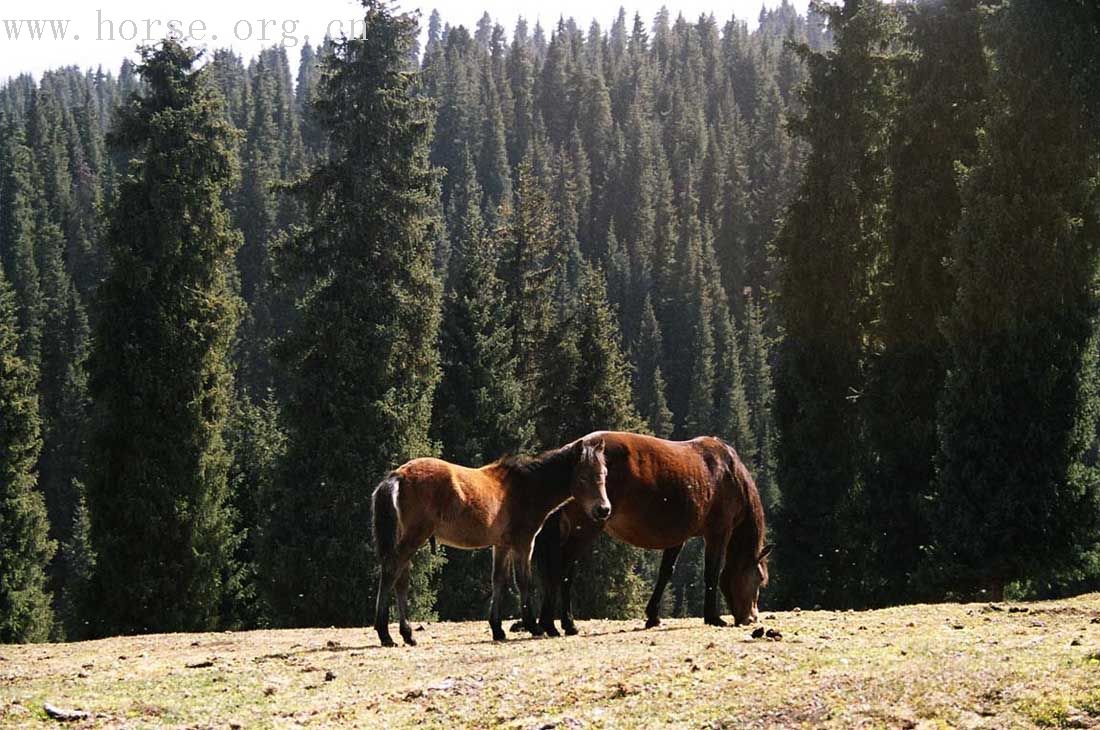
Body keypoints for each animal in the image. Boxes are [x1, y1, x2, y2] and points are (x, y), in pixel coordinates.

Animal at [369, 433, 611, 646]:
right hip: (414, 536)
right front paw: (533, 626)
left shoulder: (501, 546)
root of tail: (399, 474)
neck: (526, 488)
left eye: (604, 473)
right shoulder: (524, 543)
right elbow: (523, 581)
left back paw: (407, 634)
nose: (603, 509)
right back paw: (385, 634)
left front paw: (497, 628)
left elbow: (499, 580)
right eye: (583, 477)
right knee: (391, 571)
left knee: (401, 578)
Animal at [528, 430, 770, 637]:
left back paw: (558, 624)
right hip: (584, 530)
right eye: (758, 579)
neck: (727, 473)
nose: (751, 618)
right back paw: (558, 624)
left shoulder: (677, 537)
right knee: (561, 570)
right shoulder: (718, 533)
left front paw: (653, 616)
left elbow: (665, 573)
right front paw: (713, 617)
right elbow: (711, 573)